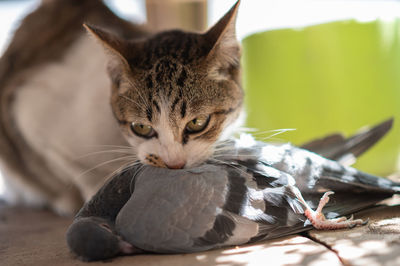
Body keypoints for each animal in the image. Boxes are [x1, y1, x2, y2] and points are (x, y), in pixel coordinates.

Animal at [0, 0, 244, 215]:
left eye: (197, 122)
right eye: (141, 127)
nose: (174, 164)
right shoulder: (29, 110)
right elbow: (74, 169)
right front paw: (93, 194)